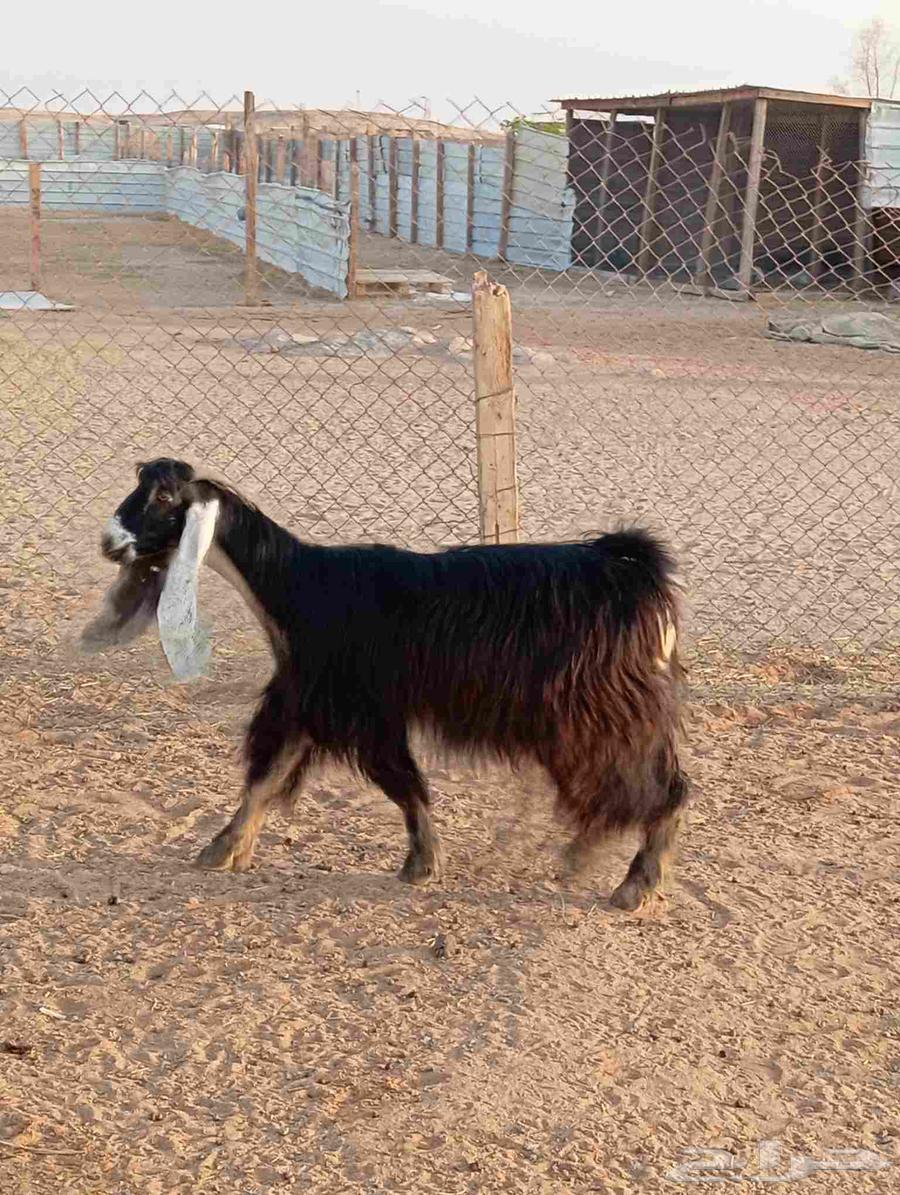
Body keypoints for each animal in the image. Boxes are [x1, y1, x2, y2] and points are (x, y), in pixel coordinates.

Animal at [83, 458, 689, 911]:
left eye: (164, 496)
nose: (110, 541)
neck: (299, 586)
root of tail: (635, 572)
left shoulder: (359, 707)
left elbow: (399, 782)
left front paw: (421, 863)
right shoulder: (309, 699)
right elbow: (268, 774)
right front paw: (226, 848)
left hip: (599, 712)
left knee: (663, 787)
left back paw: (632, 883)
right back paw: (593, 857)